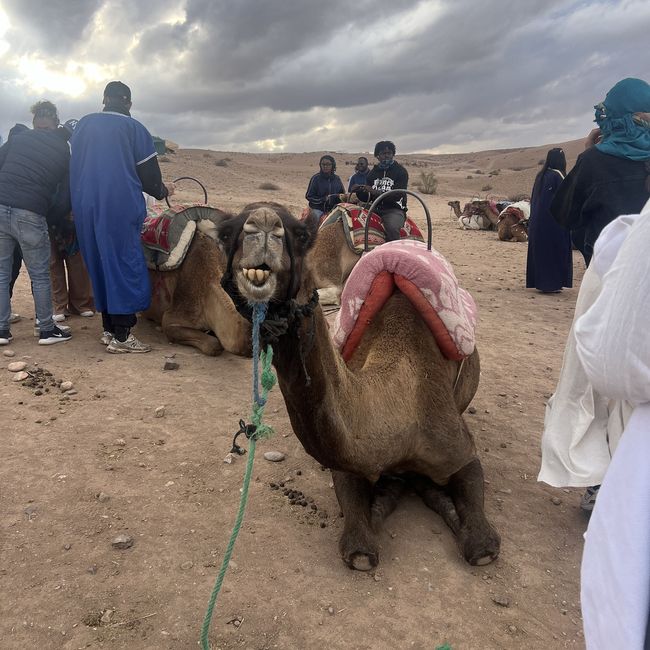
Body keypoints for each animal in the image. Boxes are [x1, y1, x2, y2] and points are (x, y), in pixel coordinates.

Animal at [215, 201, 498, 568]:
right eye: (225, 233)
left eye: (301, 235)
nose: (263, 224)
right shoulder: (351, 460)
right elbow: (359, 546)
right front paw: (380, 509)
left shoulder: (460, 449)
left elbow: (482, 546)